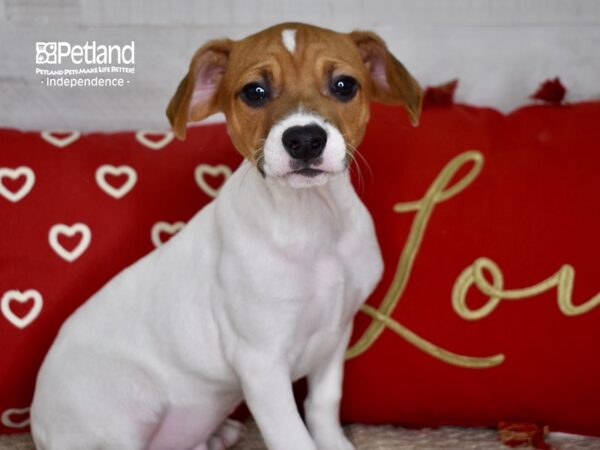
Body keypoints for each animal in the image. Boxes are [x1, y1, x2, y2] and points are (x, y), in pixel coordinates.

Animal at [29, 22, 422, 450]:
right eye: (255, 92)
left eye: (344, 85)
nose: (304, 139)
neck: (311, 221)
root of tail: (38, 423)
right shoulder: (261, 362)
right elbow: (292, 436)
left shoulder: (335, 338)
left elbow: (323, 406)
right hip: (114, 426)